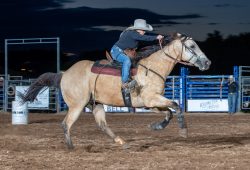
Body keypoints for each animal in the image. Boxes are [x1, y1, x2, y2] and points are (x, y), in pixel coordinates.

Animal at [19, 32, 211, 149]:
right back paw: (71, 147)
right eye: (192, 46)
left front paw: (155, 126)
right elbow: (176, 106)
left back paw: (121, 142)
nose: (207, 62)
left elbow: (168, 112)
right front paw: (183, 131)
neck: (152, 67)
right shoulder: (151, 99)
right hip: (77, 105)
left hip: (95, 104)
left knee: (102, 125)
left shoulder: (150, 103)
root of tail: (64, 74)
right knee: (66, 124)